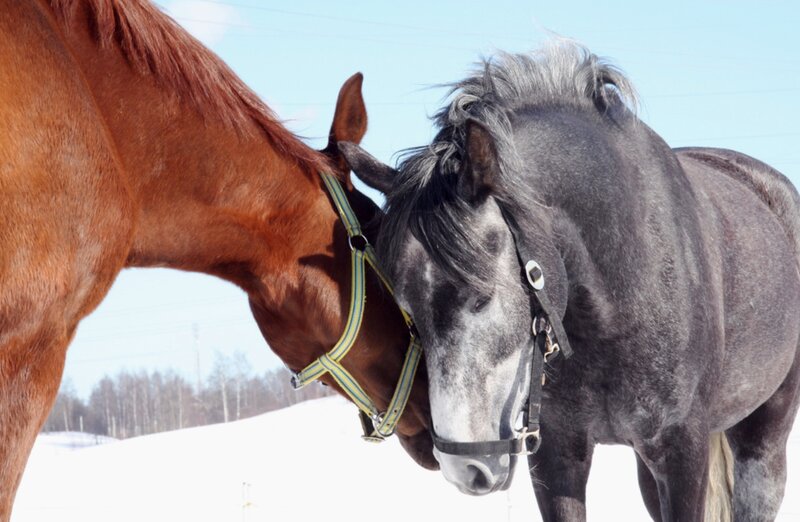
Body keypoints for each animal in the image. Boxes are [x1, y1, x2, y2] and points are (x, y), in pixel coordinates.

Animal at [340, 43, 800, 521]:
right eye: (409, 313)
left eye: (481, 299)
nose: (466, 469)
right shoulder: (557, 453)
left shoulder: (682, 451)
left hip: (764, 437)